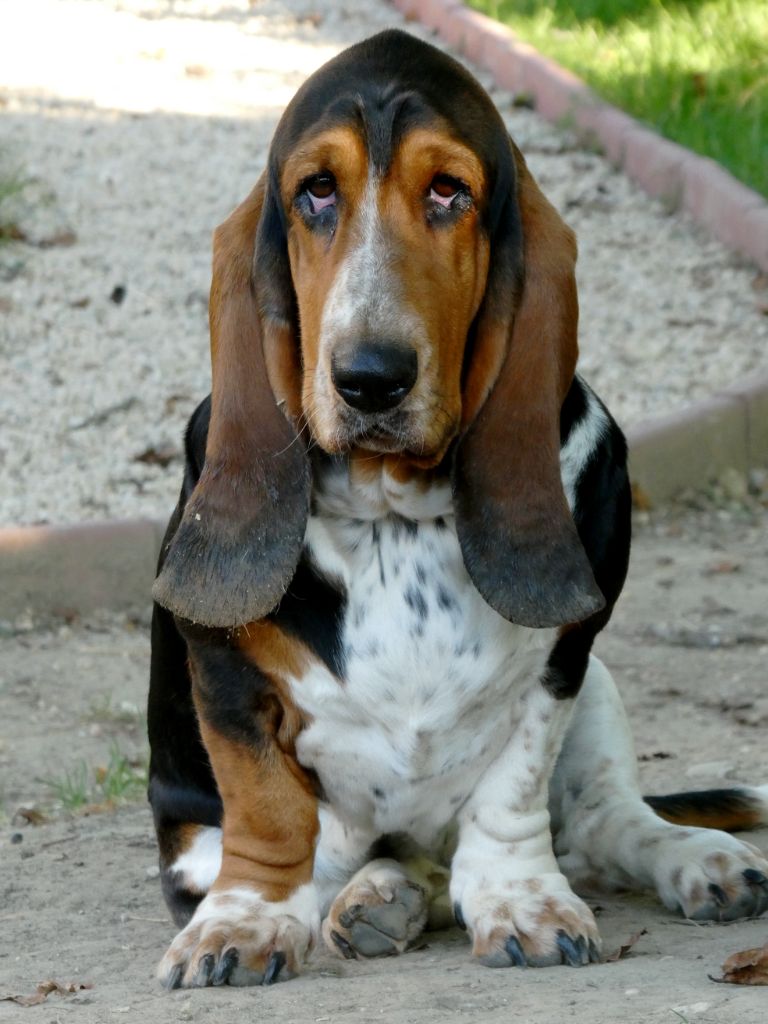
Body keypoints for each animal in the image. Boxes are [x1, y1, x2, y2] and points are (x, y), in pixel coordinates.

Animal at [145, 32, 768, 987]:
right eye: (315, 191)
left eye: (449, 191)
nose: (370, 377)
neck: (394, 516)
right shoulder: (223, 679)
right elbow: (267, 809)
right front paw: (243, 924)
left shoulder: (565, 659)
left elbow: (515, 787)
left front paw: (523, 903)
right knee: (390, 864)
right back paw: (377, 899)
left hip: (603, 695)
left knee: (604, 820)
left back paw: (699, 861)